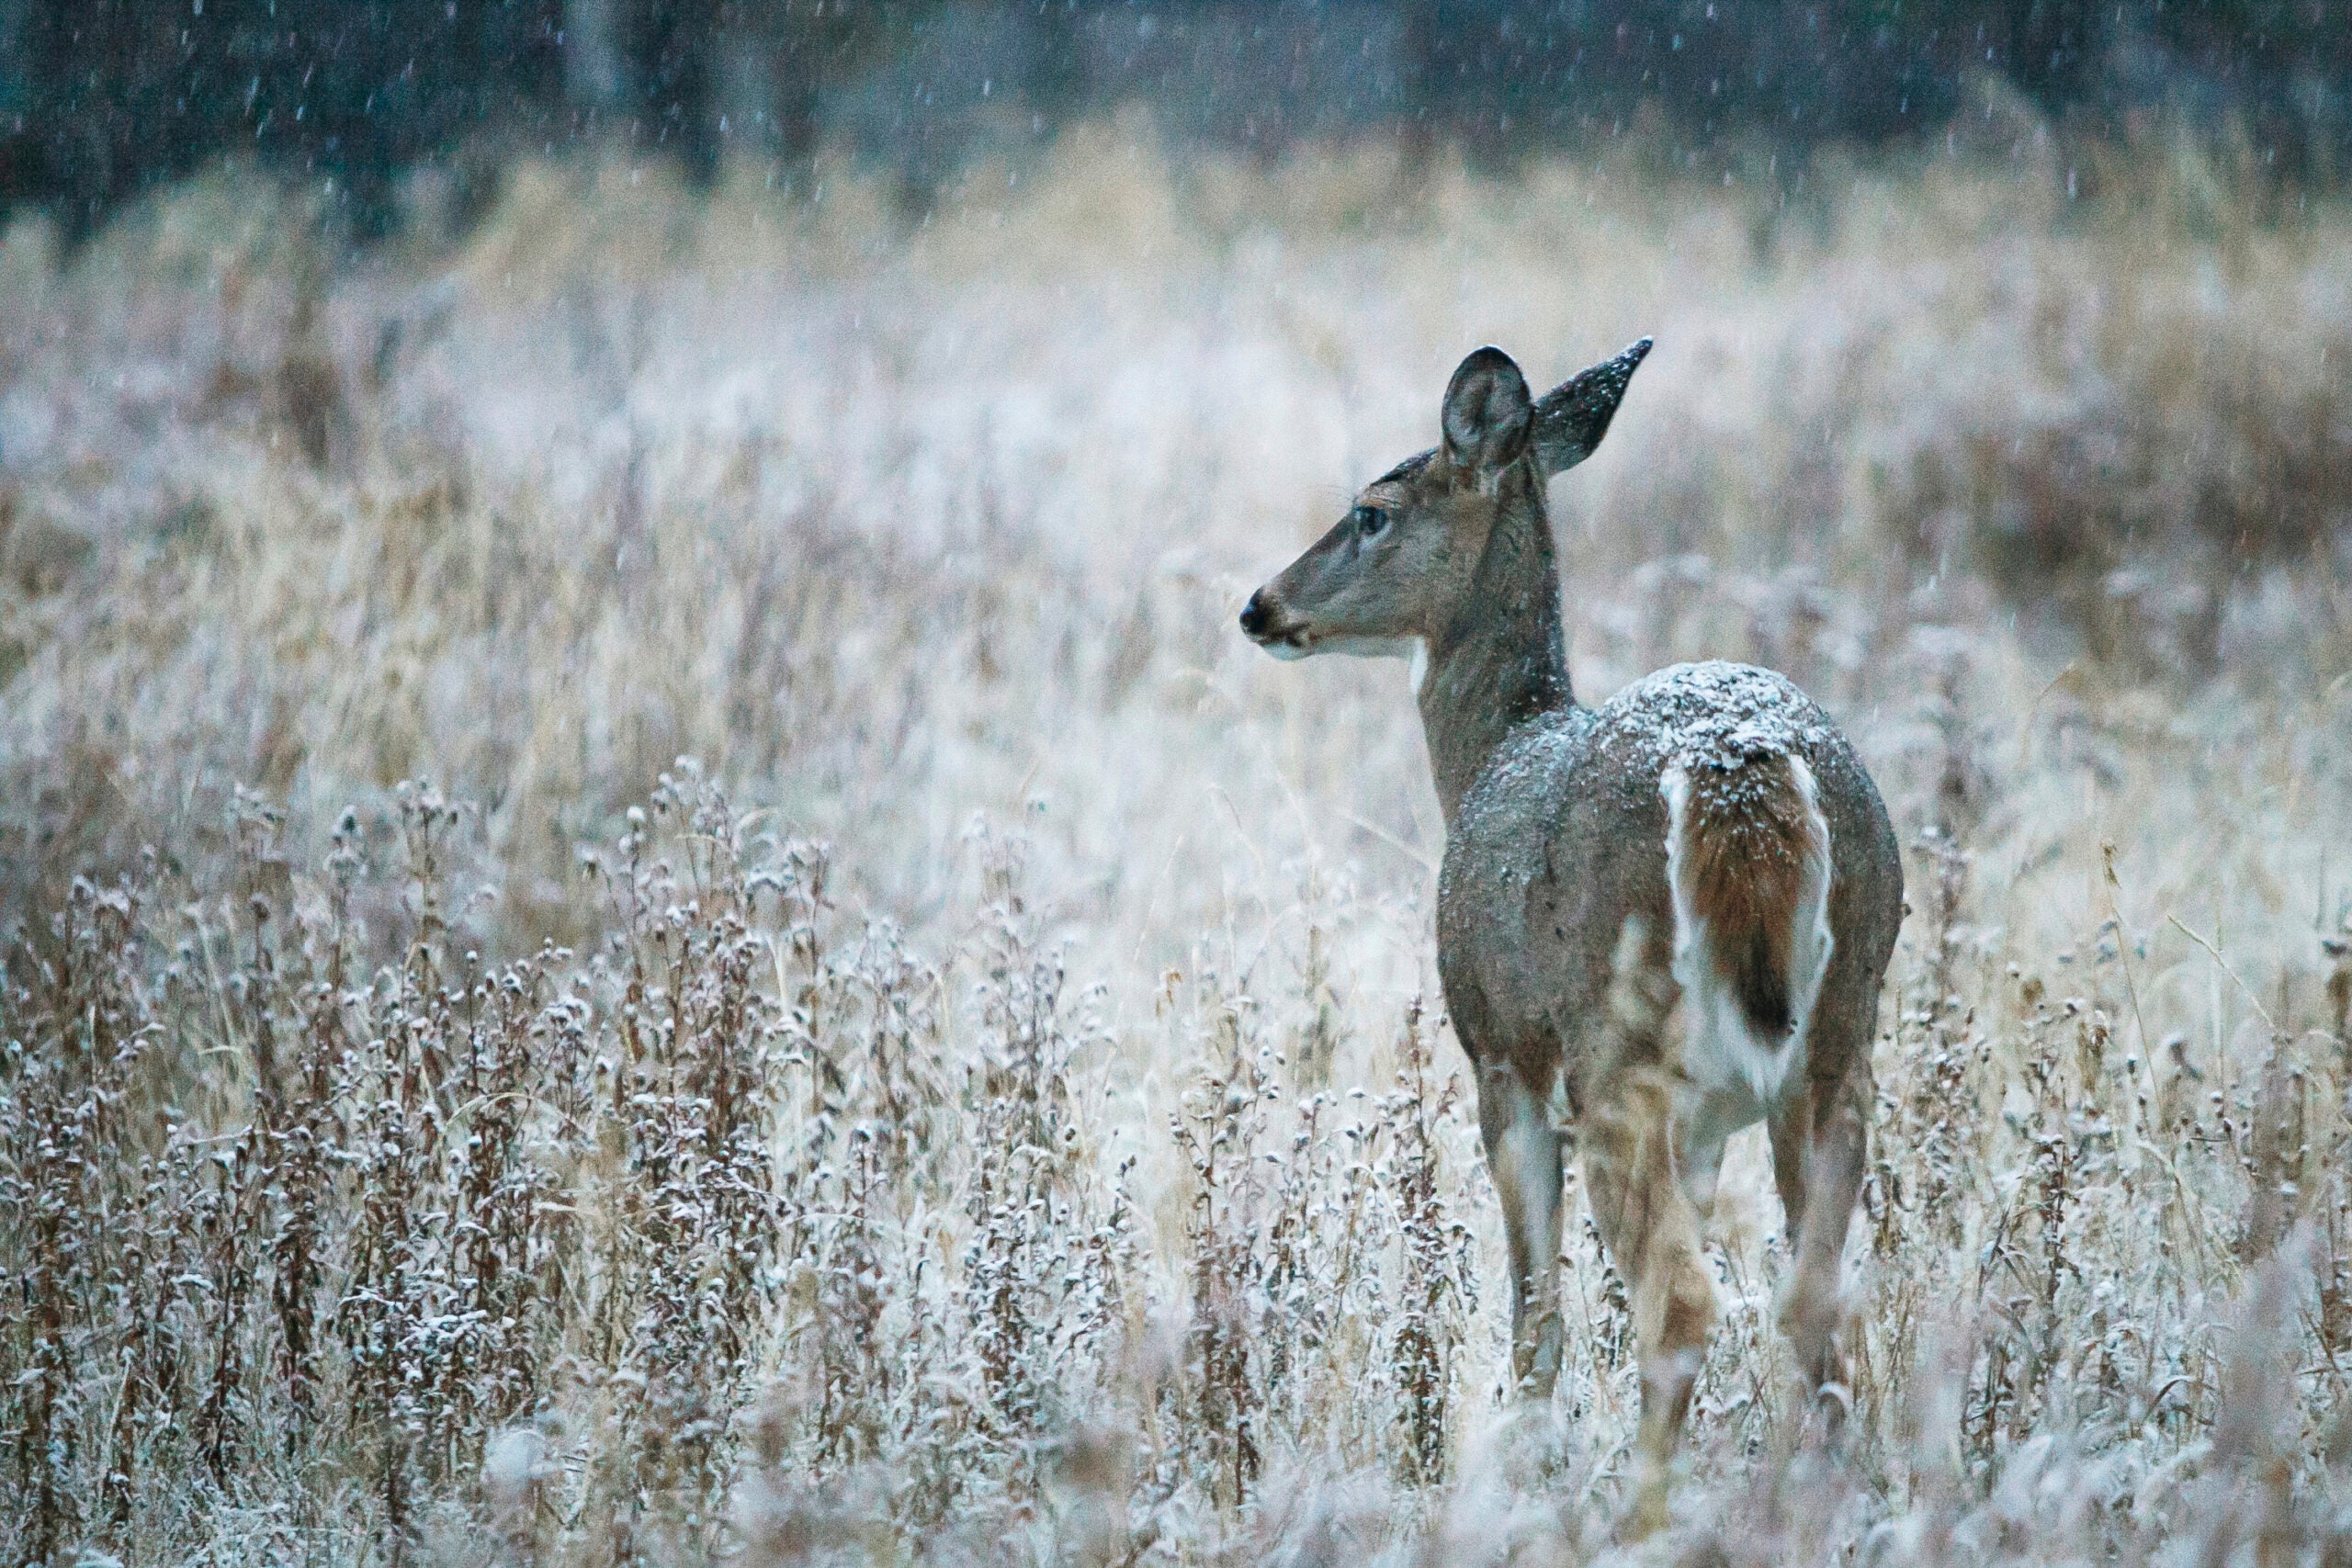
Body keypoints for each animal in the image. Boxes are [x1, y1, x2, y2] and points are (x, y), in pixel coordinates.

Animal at [1241, 338, 1900, 1523]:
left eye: (1370, 512)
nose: (1259, 605)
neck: (1493, 753)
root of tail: (1744, 779)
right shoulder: (1705, 1127)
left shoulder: (1500, 1062)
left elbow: (1534, 1313)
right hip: (1839, 1038)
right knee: (1815, 1297)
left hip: (1615, 1053)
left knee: (1683, 1301)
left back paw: (1641, 1518)